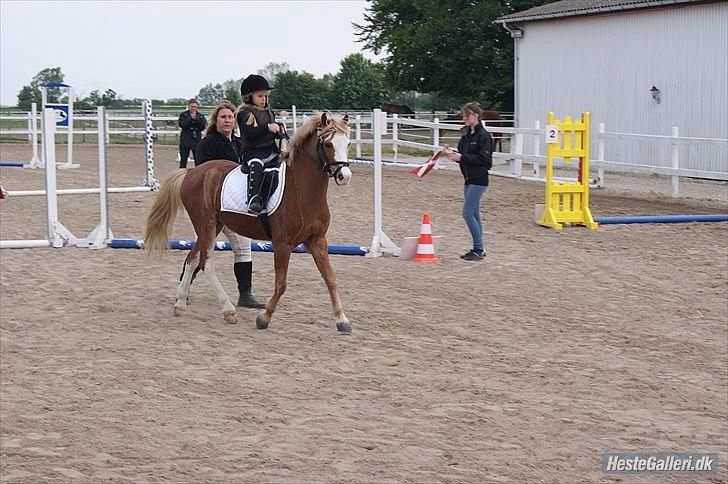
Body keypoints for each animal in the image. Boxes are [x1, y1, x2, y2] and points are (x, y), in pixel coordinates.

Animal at [144, 113, 354, 332]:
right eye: (328, 144)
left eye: (347, 143)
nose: (344, 176)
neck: (301, 191)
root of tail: (192, 172)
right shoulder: (282, 244)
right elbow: (281, 284)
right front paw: (264, 318)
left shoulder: (317, 241)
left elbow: (331, 279)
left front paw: (342, 320)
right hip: (205, 225)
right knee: (205, 263)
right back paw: (228, 310)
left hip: (213, 226)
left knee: (192, 259)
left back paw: (180, 304)